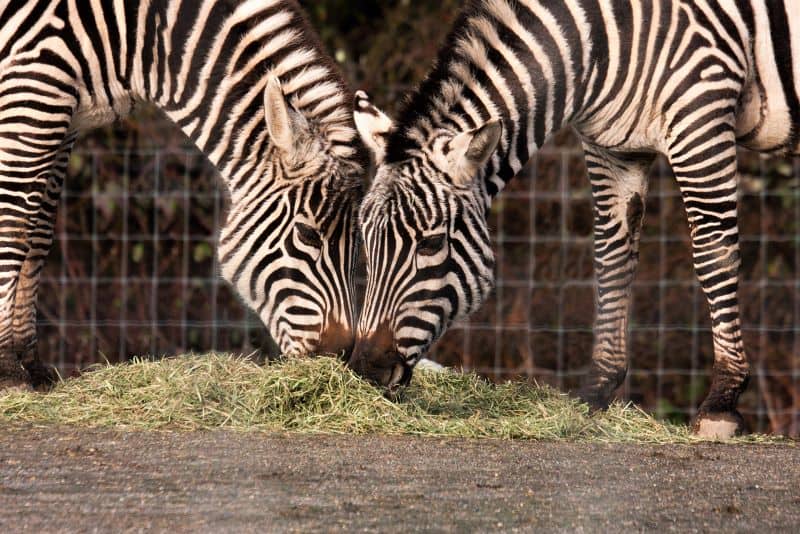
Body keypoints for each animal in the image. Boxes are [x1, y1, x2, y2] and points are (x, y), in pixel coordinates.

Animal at [0, 1, 368, 394]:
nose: (339, 356)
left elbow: (39, 235)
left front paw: (32, 365)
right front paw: (8, 369)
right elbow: (15, 228)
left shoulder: (65, 119)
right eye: (307, 235)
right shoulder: (31, 88)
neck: (138, 34)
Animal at [352, 0, 800, 440]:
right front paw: (596, 392)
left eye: (430, 244)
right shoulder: (614, 150)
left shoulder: (701, 116)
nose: (365, 371)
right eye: (366, 242)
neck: (600, 43)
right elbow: (611, 258)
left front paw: (721, 402)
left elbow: (713, 255)